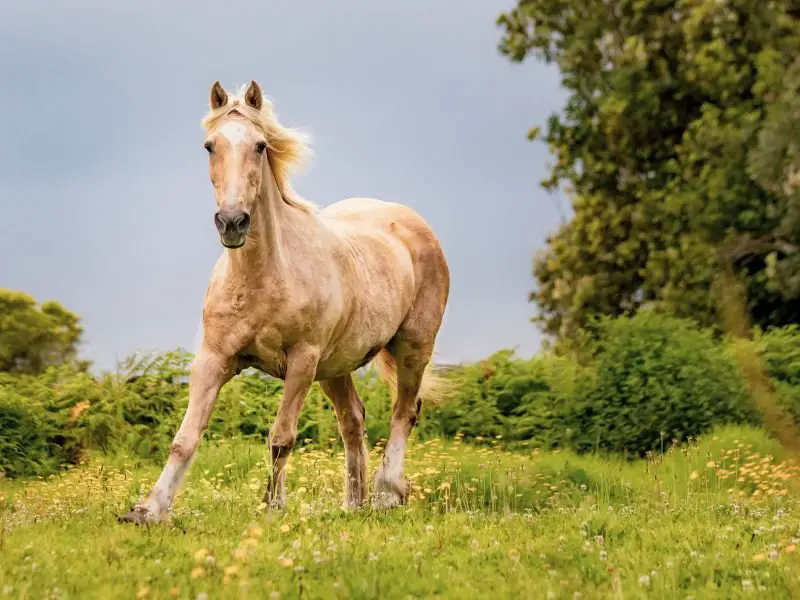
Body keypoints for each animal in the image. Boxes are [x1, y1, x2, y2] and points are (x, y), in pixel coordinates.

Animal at [122, 81, 454, 524]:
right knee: (353, 420)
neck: (263, 277)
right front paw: (149, 510)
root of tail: (411, 223)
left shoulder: (301, 362)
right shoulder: (213, 359)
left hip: (412, 347)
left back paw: (386, 493)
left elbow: (281, 437)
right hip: (336, 366)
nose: (232, 222)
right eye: (210, 146)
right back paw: (353, 503)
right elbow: (185, 438)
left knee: (404, 411)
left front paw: (273, 506)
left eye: (260, 145)